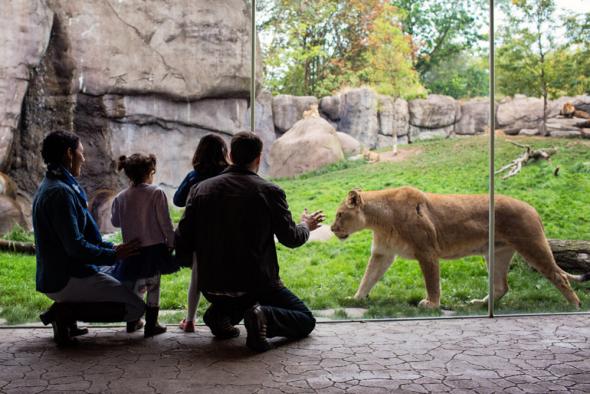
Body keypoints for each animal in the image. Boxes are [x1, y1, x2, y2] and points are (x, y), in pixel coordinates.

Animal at [332, 187, 590, 308]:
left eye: (340, 214)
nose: (333, 228)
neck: (380, 220)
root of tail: (533, 209)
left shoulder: (427, 251)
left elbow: (432, 282)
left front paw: (432, 304)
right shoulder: (382, 253)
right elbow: (368, 278)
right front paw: (355, 299)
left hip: (532, 245)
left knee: (559, 276)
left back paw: (575, 306)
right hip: (496, 253)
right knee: (502, 286)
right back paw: (480, 304)